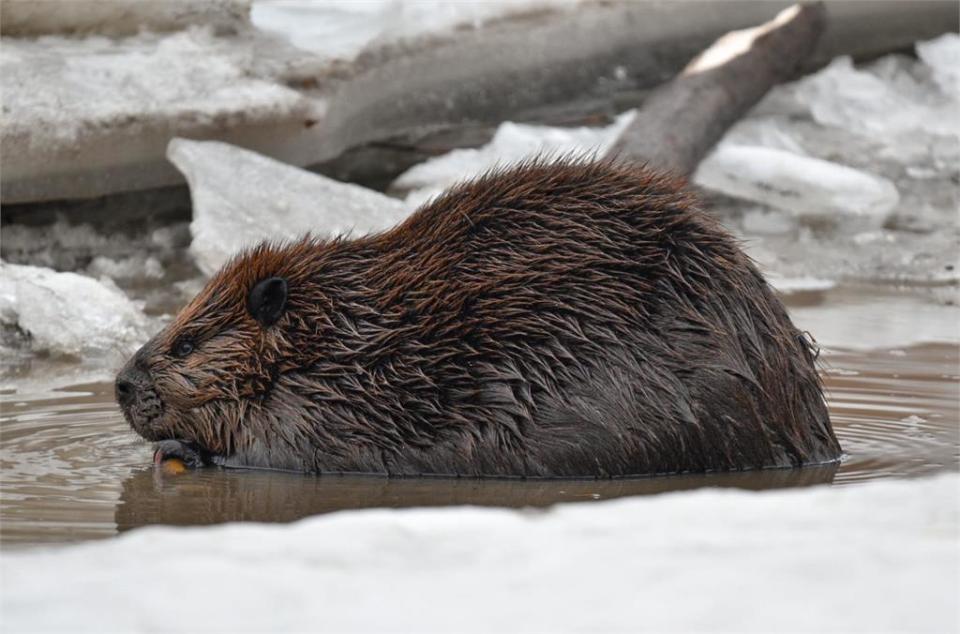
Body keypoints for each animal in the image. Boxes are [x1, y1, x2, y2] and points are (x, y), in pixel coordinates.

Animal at [118, 158, 840, 474]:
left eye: (186, 344)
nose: (122, 384)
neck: (345, 337)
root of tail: (817, 431)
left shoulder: (330, 407)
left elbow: (279, 454)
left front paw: (180, 450)